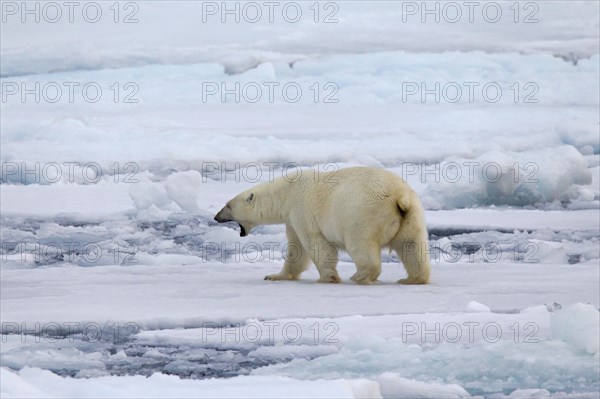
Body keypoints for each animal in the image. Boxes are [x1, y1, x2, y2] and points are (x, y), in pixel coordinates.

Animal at [216, 166, 432, 284]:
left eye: (228, 205)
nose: (216, 217)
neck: (285, 193)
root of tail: (399, 196)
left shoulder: (301, 209)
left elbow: (316, 244)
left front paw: (327, 277)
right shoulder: (292, 219)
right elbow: (296, 250)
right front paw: (274, 276)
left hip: (362, 214)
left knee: (360, 245)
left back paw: (359, 276)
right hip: (411, 216)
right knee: (412, 247)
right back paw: (412, 279)